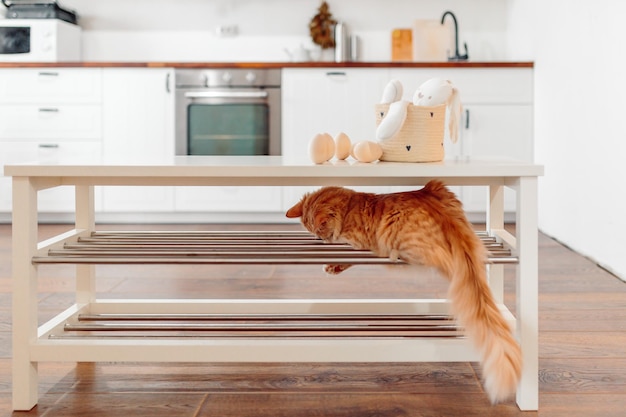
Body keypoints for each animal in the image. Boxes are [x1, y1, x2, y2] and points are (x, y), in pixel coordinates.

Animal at [286, 180, 520, 404]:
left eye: (319, 232)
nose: (320, 240)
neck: (349, 205)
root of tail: (447, 219)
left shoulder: (358, 241)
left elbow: (347, 258)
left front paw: (331, 266)